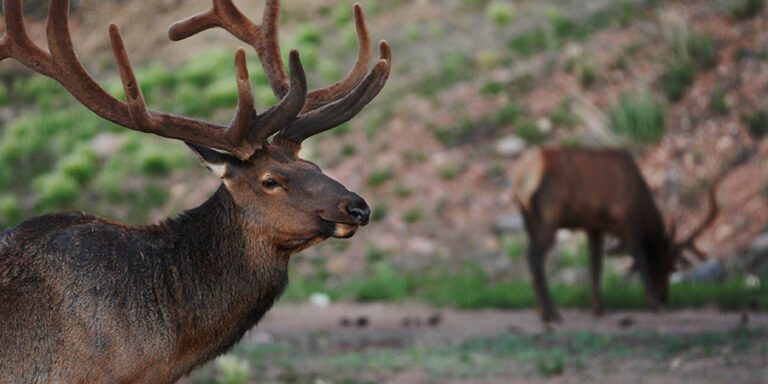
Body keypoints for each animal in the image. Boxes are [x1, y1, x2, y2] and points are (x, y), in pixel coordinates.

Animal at [516, 148, 728, 322]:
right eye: (669, 267)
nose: (664, 296)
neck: (641, 205)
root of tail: (523, 179)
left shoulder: (594, 226)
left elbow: (595, 265)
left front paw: (598, 308)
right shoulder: (628, 221)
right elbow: (640, 259)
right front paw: (652, 303)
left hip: (529, 220)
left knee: (530, 257)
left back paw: (544, 312)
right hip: (550, 217)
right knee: (535, 259)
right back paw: (552, 313)